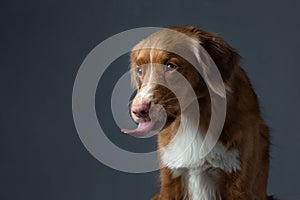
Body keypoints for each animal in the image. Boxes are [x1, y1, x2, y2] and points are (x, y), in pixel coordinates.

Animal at [120, 27, 274, 200]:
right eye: (139, 70)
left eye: (171, 66)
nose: (138, 111)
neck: (194, 119)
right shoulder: (170, 180)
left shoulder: (239, 184)